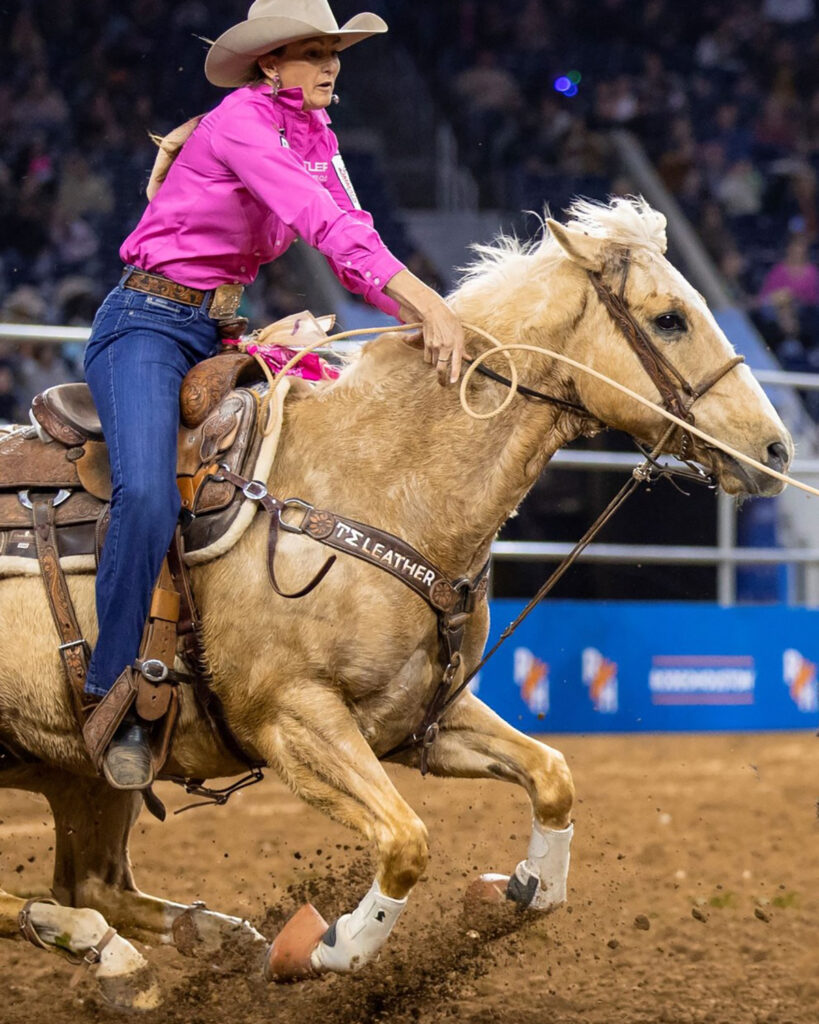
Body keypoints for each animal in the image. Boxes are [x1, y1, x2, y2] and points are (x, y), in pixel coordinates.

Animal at [0, 199, 794, 1007]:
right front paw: (325, 946)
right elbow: (406, 842)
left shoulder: (420, 720)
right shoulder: (292, 718)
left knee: (93, 884)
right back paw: (110, 949)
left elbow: (551, 777)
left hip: (79, 772)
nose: (775, 450)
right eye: (669, 318)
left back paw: (207, 938)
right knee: (67, 899)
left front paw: (522, 888)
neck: (378, 485)